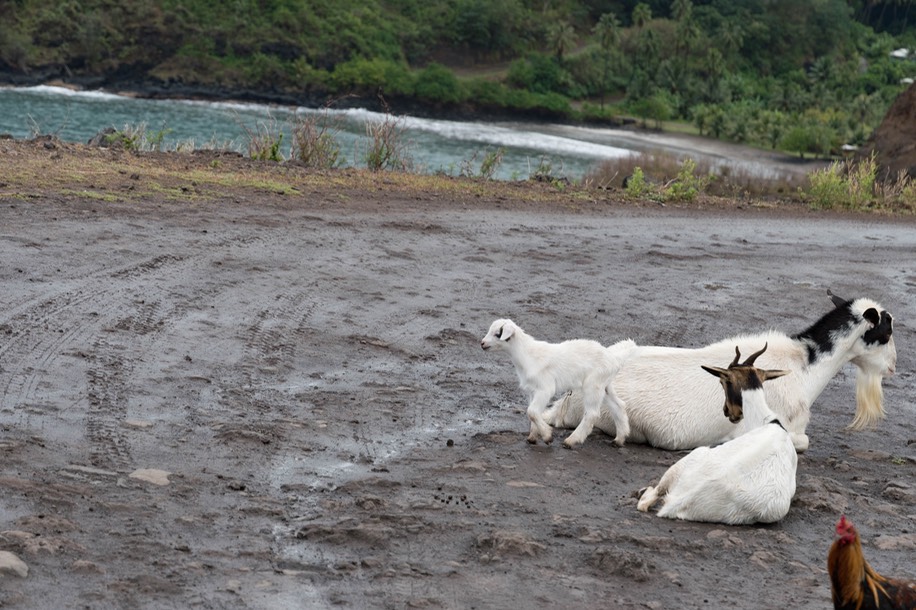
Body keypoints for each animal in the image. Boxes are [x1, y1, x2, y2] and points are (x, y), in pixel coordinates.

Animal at [480, 318, 636, 446]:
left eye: (497, 334)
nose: (482, 343)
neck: (527, 354)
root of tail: (614, 359)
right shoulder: (532, 390)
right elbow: (533, 412)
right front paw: (533, 437)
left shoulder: (545, 388)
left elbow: (532, 412)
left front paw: (547, 436)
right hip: (605, 385)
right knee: (619, 405)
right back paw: (619, 439)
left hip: (593, 385)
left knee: (592, 413)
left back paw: (571, 441)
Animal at [636, 342, 796, 524]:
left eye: (722, 382)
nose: (727, 411)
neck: (769, 423)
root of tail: (680, 500)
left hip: (690, 460)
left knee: (647, 500)